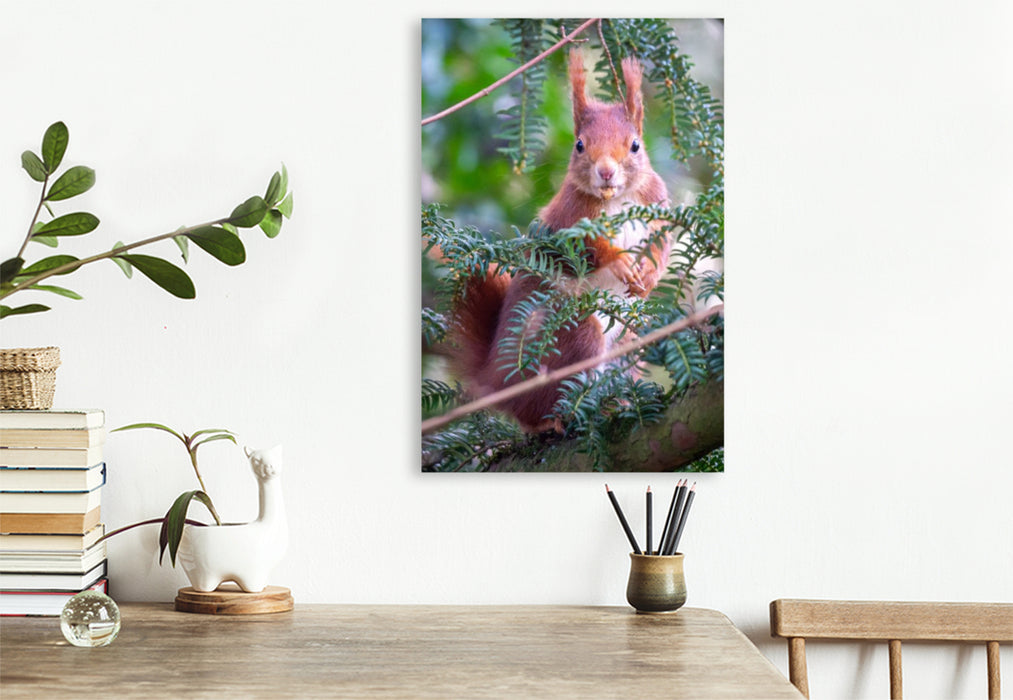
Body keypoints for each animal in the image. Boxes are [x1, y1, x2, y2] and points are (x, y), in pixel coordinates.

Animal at [450, 49, 672, 433]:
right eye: (580, 145)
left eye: (635, 145)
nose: (606, 171)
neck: (618, 199)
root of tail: (498, 380)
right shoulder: (566, 222)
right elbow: (582, 249)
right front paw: (619, 261)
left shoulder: (658, 207)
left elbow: (664, 244)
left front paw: (648, 274)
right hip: (573, 335)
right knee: (540, 407)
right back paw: (558, 419)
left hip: (630, 342)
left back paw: (620, 402)